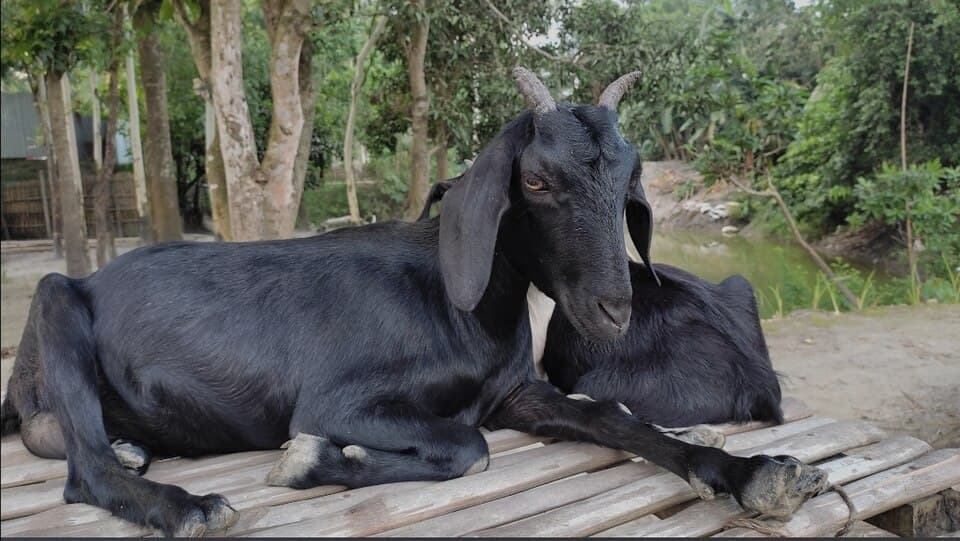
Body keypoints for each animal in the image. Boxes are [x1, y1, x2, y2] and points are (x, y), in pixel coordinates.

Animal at [0, 69, 825, 537]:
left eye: (630, 179)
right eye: (536, 179)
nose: (615, 309)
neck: (465, 311)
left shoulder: (517, 392)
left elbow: (612, 417)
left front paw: (755, 472)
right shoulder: (337, 398)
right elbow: (468, 446)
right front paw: (308, 461)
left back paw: (131, 445)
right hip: (55, 298)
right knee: (84, 470)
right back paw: (184, 506)